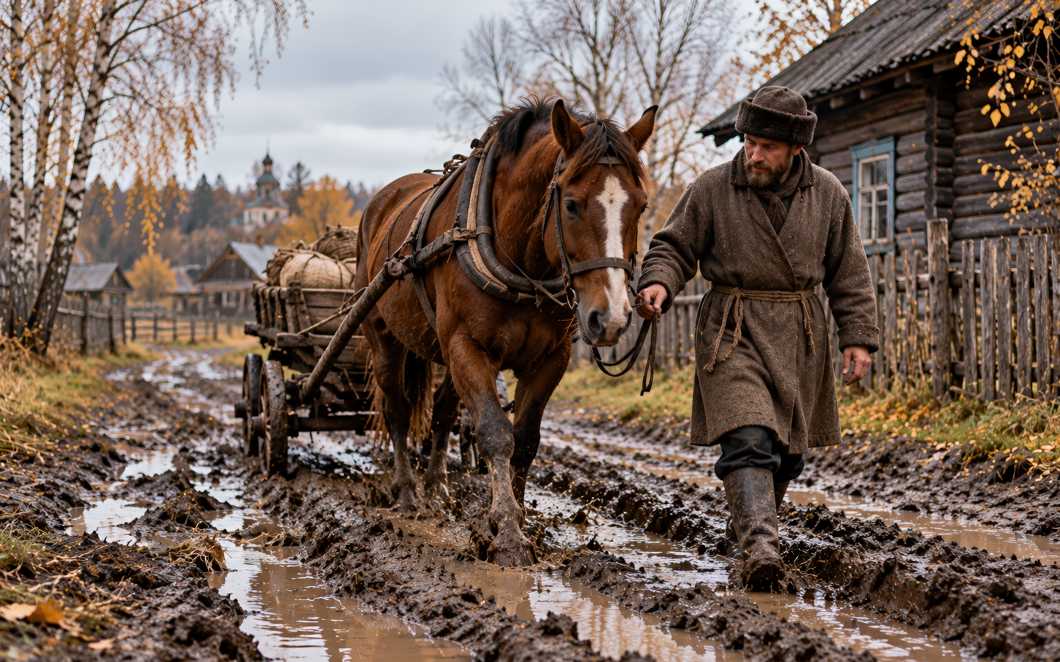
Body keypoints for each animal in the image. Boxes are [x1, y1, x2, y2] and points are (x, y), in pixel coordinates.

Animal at [355, 98, 656, 565]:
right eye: (571, 204)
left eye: (640, 206)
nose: (611, 319)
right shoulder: (467, 346)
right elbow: (497, 435)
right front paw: (509, 535)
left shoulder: (551, 359)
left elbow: (526, 439)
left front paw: (516, 519)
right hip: (383, 335)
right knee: (398, 411)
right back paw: (407, 493)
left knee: (443, 413)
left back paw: (437, 487)